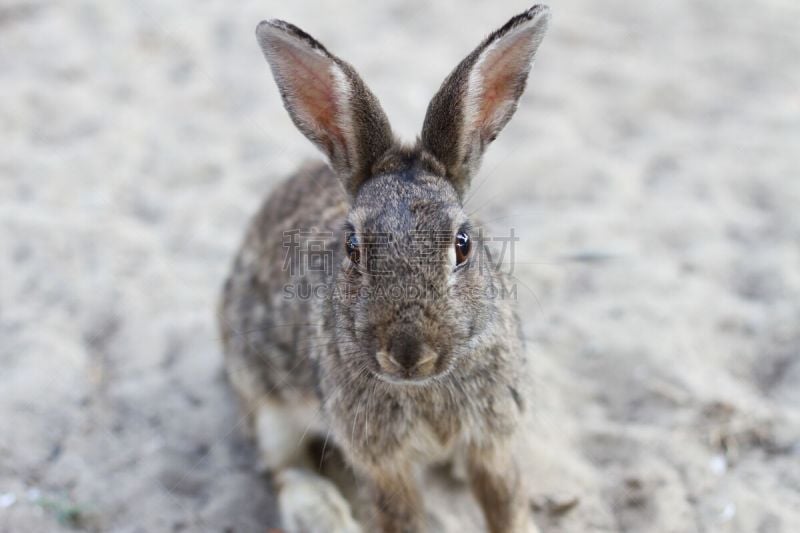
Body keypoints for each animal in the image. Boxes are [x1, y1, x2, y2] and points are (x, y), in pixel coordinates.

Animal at [222, 5, 552, 532]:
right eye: (352, 248)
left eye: (463, 244)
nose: (409, 353)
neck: (426, 385)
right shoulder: (381, 461)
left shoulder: (493, 440)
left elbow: (506, 503)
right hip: (263, 395)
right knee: (281, 468)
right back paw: (322, 513)